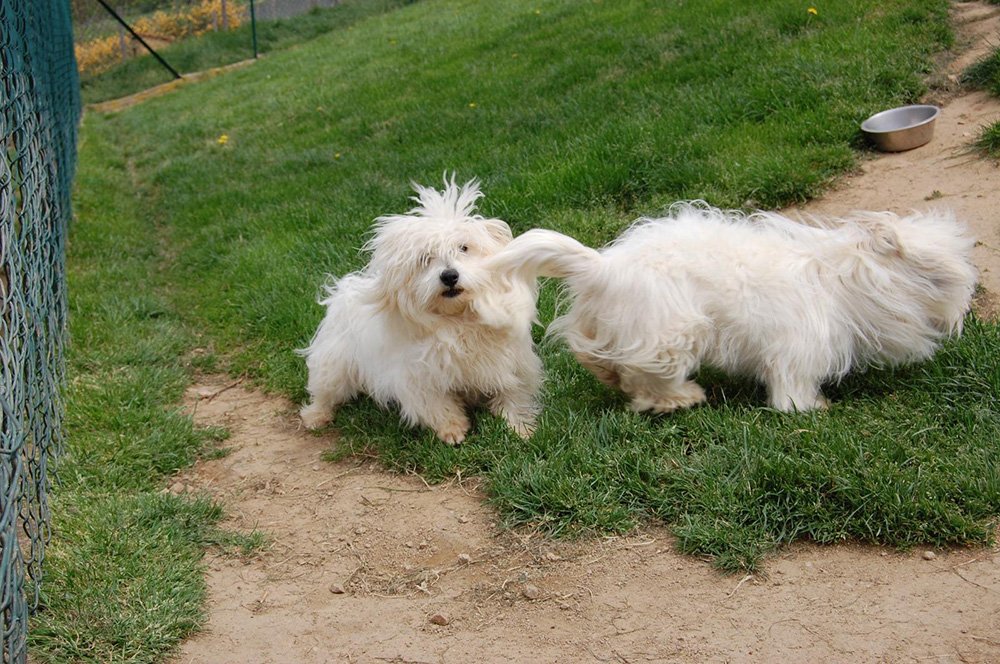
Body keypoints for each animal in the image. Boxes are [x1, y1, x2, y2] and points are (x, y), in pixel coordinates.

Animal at [300, 179, 544, 444]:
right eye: (425, 258)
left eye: (464, 248)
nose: (449, 276)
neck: (458, 319)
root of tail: (342, 289)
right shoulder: (419, 378)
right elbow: (438, 407)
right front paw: (453, 430)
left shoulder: (513, 364)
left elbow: (513, 396)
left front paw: (520, 428)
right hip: (334, 364)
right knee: (324, 392)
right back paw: (316, 416)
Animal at [490, 200, 976, 412]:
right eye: (942, 278)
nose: (967, 306)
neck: (844, 282)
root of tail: (603, 267)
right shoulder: (796, 353)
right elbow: (792, 395)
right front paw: (813, 409)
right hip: (672, 335)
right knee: (646, 382)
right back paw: (683, 397)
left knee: (598, 357)